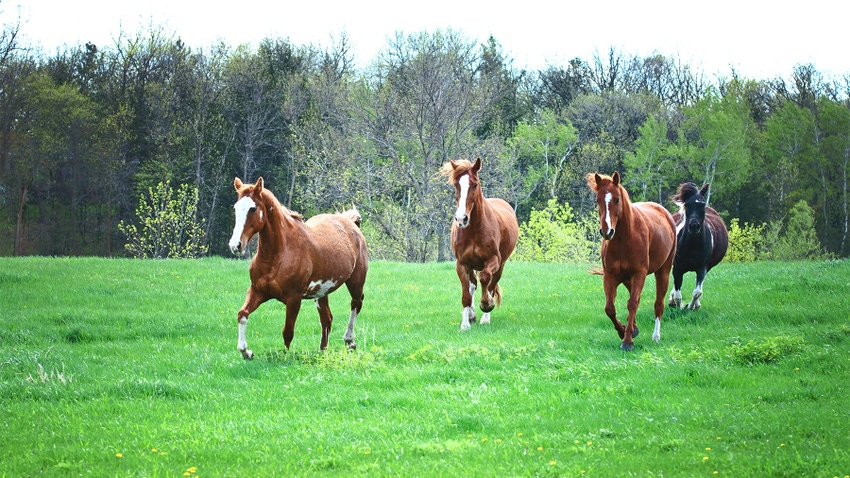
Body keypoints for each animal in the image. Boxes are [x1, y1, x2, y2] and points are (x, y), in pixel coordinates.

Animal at [227, 177, 366, 360]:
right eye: (235, 208)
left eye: (252, 208)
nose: (235, 245)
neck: (277, 255)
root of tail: (350, 222)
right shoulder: (258, 291)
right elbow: (242, 314)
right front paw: (246, 352)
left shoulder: (294, 298)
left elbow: (288, 331)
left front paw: (285, 356)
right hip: (321, 292)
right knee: (327, 319)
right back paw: (322, 351)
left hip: (356, 281)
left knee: (356, 303)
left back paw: (349, 341)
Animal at [440, 159, 520, 330]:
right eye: (456, 184)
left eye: (475, 184)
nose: (461, 219)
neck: (474, 230)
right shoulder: (462, 264)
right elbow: (466, 294)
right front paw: (465, 324)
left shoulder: (493, 260)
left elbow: (485, 279)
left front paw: (486, 304)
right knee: (473, 285)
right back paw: (471, 315)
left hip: (501, 265)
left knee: (491, 284)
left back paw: (485, 317)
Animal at [584, 173, 676, 352]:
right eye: (597, 200)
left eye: (617, 199)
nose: (607, 231)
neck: (623, 239)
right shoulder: (610, 276)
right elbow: (610, 308)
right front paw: (624, 331)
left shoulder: (639, 273)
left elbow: (632, 304)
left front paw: (627, 341)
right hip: (627, 279)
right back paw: (632, 327)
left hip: (663, 272)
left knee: (658, 304)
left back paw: (655, 336)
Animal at [664, 182, 724, 310]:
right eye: (687, 205)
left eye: (702, 204)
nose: (694, 226)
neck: (692, 245)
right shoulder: (677, 267)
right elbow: (678, 293)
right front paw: (678, 305)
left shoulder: (702, 268)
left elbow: (697, 292)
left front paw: (691, 307)